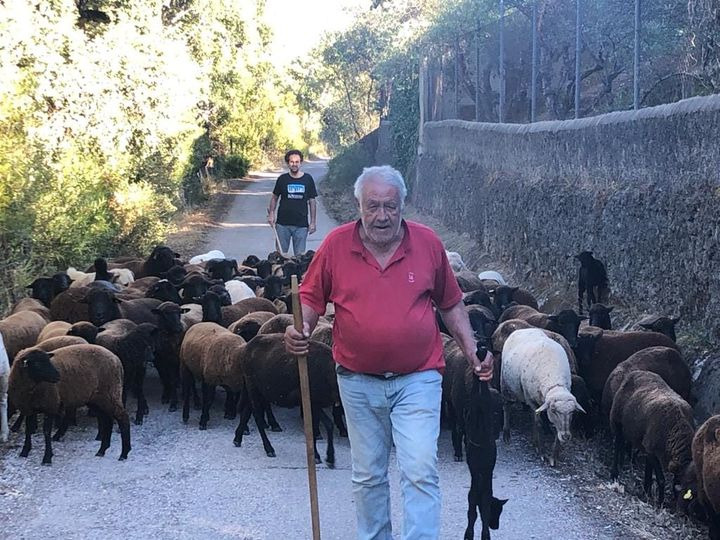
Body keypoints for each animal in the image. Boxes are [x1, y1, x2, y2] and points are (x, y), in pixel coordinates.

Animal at [500, 326, 584, 466]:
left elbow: (554, 428)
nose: (566, 437)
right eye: (554, 410)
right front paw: (541, 451)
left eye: (573, 412)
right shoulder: (531, 401)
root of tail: (523, 329)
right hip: (506, 385)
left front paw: (554, 456)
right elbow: (537, 423)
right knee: (507, 407)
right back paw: (506, 433)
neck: (554, 381)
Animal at [612, 370, 696, 504]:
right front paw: (659, 502)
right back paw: (614, 473)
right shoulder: (652, 451)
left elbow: (651, 474)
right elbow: (661, 479)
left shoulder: (650, 449)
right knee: (618, 443)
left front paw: (647, 494)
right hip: (617, 420)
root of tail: (637, 372)